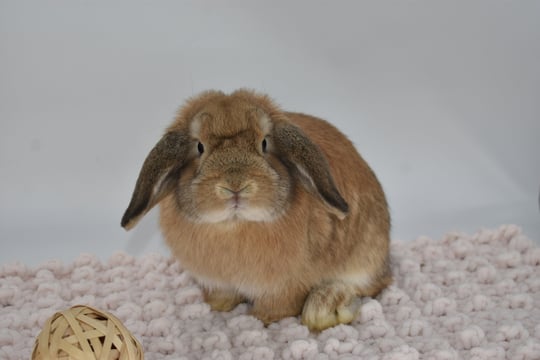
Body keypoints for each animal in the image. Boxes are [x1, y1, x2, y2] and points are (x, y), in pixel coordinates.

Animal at [122, 88, 392, 330]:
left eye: (264, 143)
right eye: (199, 147)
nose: (235, 186)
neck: (234, 224)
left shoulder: (285, 285)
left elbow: (279, 306)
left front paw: (261, 318)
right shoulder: (216, 281)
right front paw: (217, 306)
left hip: (364, 258)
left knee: (367, 285)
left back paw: (324, 307)